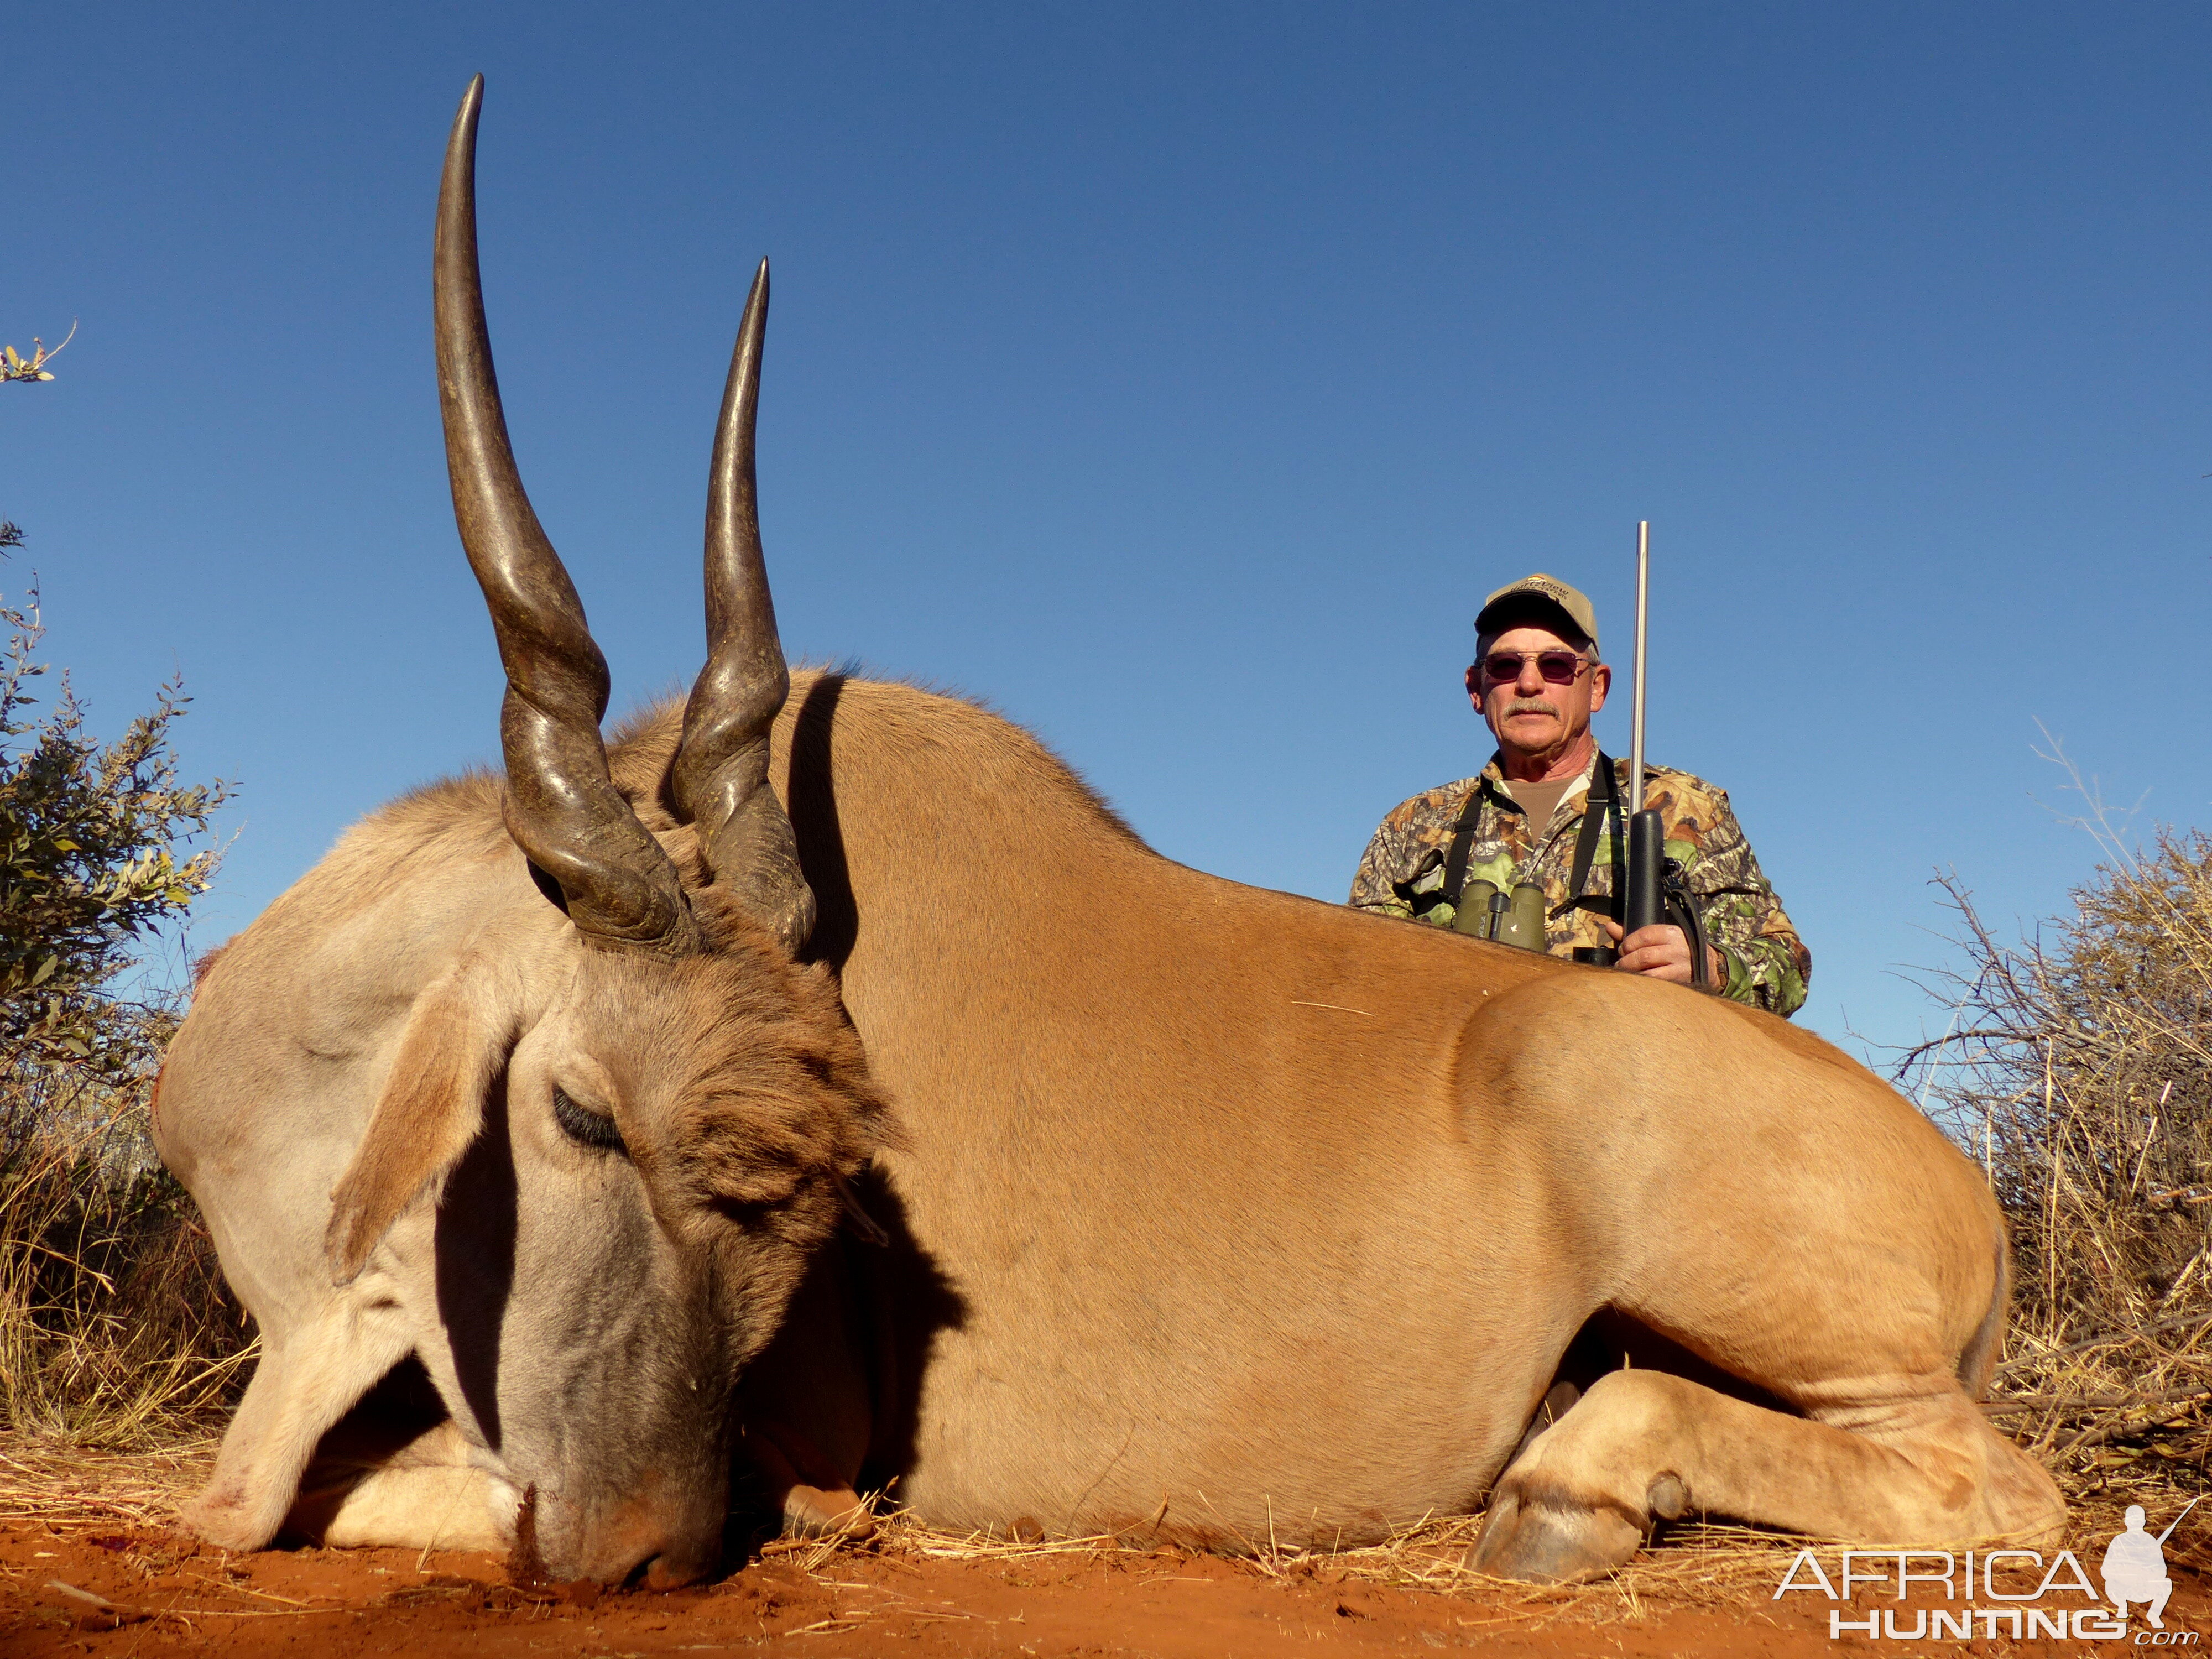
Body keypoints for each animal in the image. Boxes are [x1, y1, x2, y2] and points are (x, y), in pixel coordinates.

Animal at [147, 81, 2062, 1601]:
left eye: (808, 1207)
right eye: (577, 1113)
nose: (635, 1552)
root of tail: (1969, 1192)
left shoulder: (780, 1454)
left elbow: (348, 1494)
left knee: (2000, 1481)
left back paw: (1572, 1492)